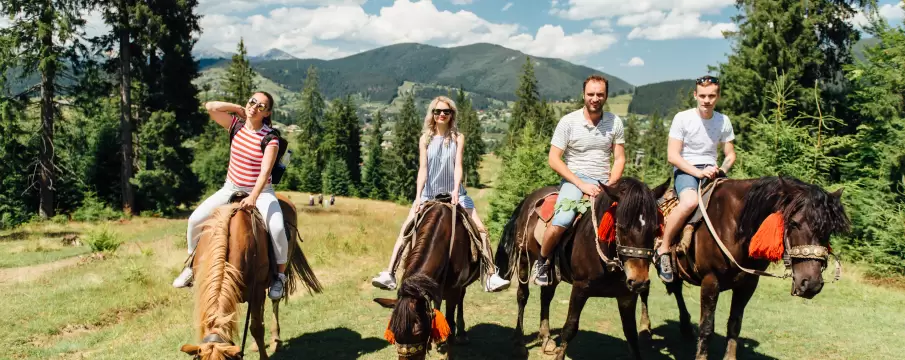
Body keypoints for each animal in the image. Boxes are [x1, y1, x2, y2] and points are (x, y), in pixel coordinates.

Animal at [372, 200, 484, 360]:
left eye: (418, 332)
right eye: (393, 331)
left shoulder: (454, 291)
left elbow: (450, 325)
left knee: (461, 300)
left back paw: (462, 335)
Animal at [494, 178, 672, 360]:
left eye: (655, 229)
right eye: (621, 227)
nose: (639, 282)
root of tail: (529, 198)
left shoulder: (626, 296)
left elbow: (631, 334)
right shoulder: (580, 288)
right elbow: (570, 328)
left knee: (546, 297)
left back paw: (546, 338)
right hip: (524, 258)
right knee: (522, 296)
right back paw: (519, 343)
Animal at [640, 176, 852, 358]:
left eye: (829, 229)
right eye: (793, 222)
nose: (811, 284)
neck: (735, 226)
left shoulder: (748, 284)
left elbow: (735, 325)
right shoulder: (710, 280)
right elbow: (707, 327)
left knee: (676, 289)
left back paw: (684, 326)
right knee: (645, 288)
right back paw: (644, 328)